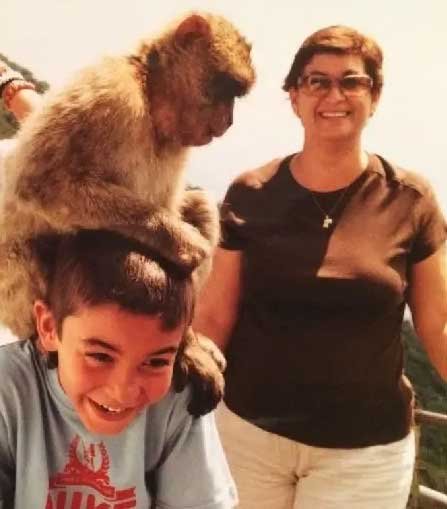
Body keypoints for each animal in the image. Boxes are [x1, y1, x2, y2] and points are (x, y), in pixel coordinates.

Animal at [0, 11, 256, 338]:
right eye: (226, 88)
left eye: (235, 94)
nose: (228, 120)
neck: (148, 98)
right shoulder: (109, 90)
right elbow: (39, 184)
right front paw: (181, 241)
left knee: (200, 202)